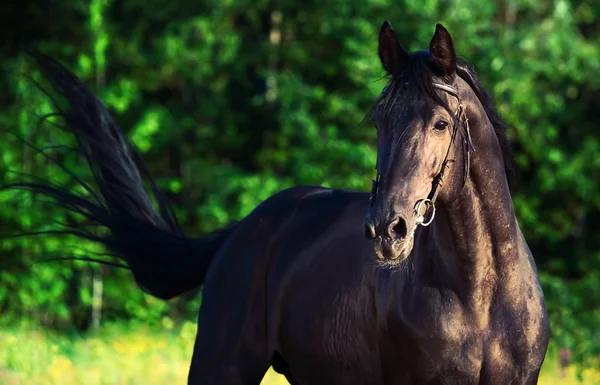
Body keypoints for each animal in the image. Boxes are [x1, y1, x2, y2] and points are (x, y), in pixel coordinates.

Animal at [4, 21, 548, 384]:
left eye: (440, 123)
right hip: (223, 366)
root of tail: (245, 228)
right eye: (379, 120)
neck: (480, 294)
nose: (386, 230)